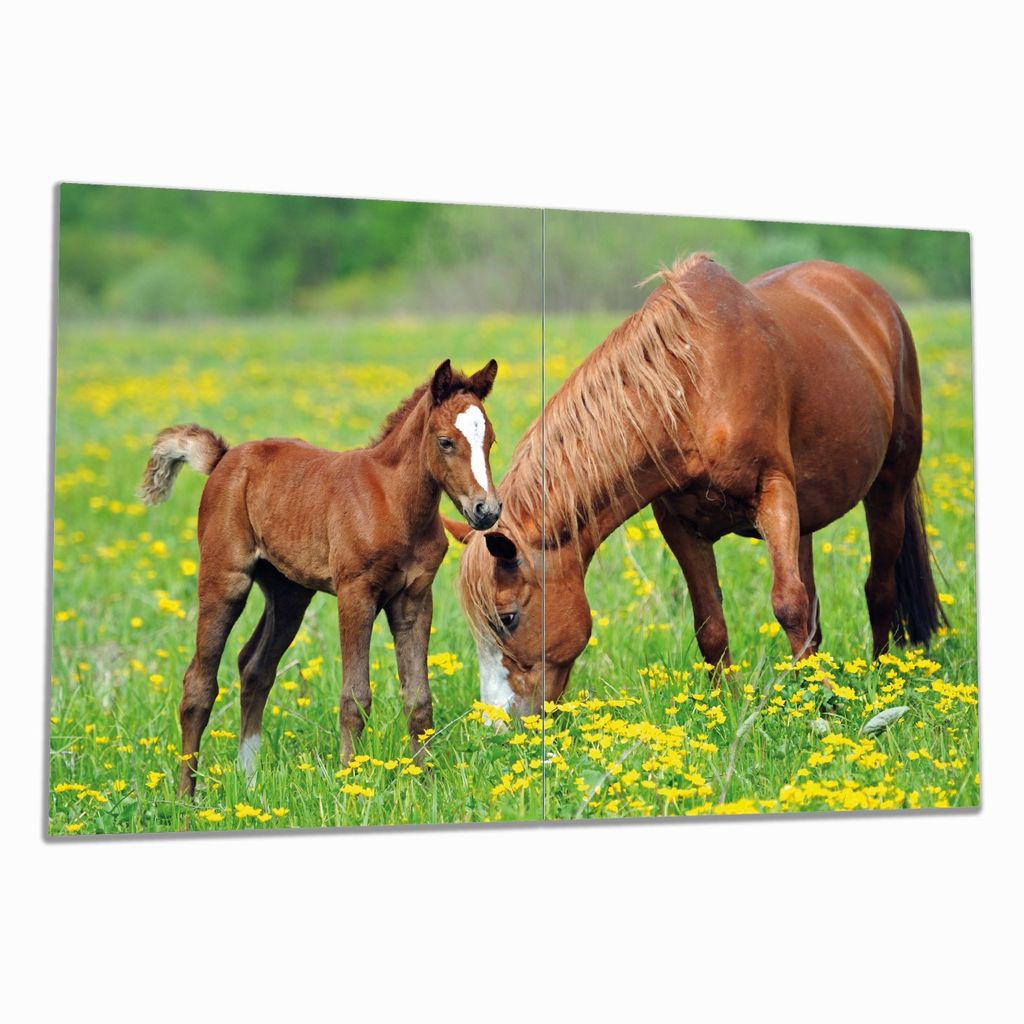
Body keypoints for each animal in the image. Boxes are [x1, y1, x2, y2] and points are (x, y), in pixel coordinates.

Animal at [139, 359, 502, 796]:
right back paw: (185, 797)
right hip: (225, 579)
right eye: (446, 442)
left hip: (289, 593)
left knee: (255, 668)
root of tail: (225, 458)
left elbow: (418, 698)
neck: (393, 501)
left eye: (490, 441)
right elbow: (355, 697)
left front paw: (426, 783)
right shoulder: (355, 592)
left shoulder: (415, 598)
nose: (486, 510)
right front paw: (350, 779)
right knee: (199, 682)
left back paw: (250, 781)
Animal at [453, 255, 946, 717]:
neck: (696, 388)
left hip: (888, 488)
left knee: (878, 589)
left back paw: (881, 675)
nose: (499, 724)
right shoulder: (681, 525)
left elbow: (788, 604)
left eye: (508, 618)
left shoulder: (773, 492)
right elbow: (711, 623)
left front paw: (823, 705)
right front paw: (727, 704)